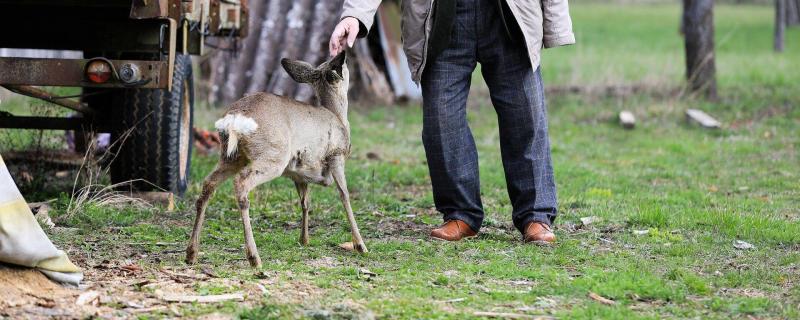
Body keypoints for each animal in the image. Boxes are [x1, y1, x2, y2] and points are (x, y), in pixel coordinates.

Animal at [186, 52, 368, 268]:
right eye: (345, 66)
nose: (346, 58)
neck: (338, 117)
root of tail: (235, 119)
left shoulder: (299, 173)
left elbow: (305, 202)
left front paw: (304, 240)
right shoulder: (336, 155)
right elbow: (344, 195)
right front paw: (360, 245)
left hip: (230, 156)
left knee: (208, 184)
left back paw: (191, 253)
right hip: (273, 155)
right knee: (241, 183)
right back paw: (254, 258)